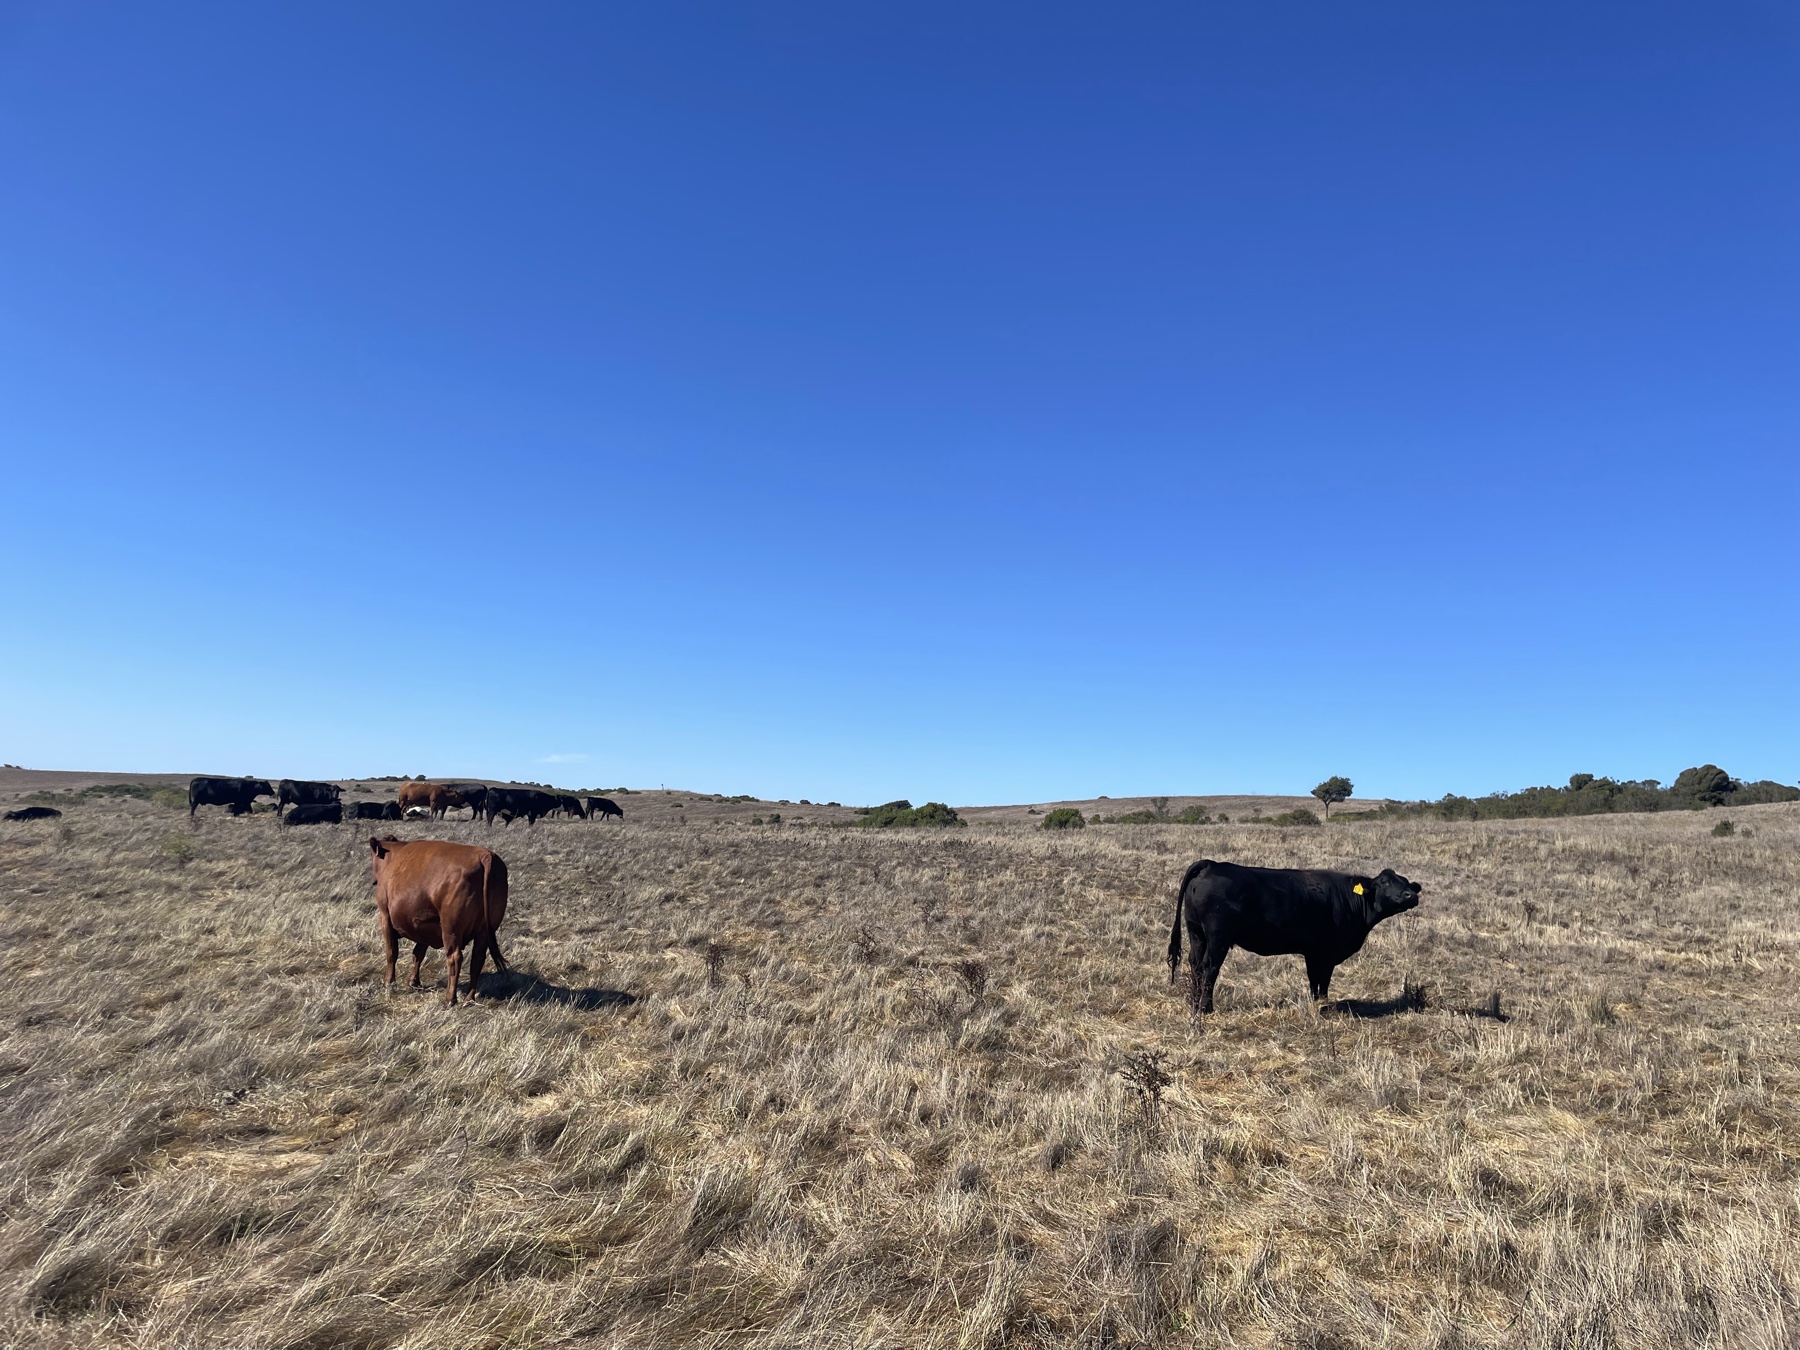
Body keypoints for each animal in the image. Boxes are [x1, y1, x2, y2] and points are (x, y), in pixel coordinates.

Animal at [367, 836, 509, 1006]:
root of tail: (485, 856)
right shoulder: (422, 924)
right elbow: (418, 954)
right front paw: (413, 982)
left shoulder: (385, 917)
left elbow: (392, 952)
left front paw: (389, 983)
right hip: (484, 931)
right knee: (477, 960)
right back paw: (468, 998)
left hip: (451, 928)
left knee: (454, 958)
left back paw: (449, 999)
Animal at [1166, 860, 1422, 1013]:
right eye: (1385, 882)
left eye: (1407, 883)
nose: (1410, 895)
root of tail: (1212, 865)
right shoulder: (1326, 952)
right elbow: (1323, 979)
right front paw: (1323, 1006)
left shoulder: (1312, 952)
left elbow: (1313, 979)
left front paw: (1316, 1002)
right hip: (1217, 937)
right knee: (1209, 967)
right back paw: (1206, 1008)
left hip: (1196, 932)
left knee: (1195, 964)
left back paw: (1194, 1002)